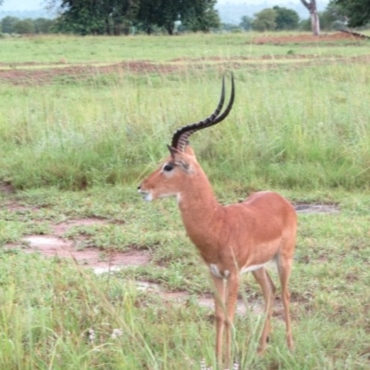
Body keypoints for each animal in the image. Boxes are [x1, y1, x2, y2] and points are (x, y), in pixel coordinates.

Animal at [139, 73, 298, 368]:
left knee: (285, 293)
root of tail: (280, 199)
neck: (218, 223)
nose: (141, 188)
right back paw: (260, 349)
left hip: (284, 259)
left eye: (168, 165)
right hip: (259, 267)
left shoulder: (233, 275)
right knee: (269, 291)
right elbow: (219, 316)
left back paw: (291, 348)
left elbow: (230, 315)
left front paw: (226, 360)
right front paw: (217, 358)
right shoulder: (214, 273)